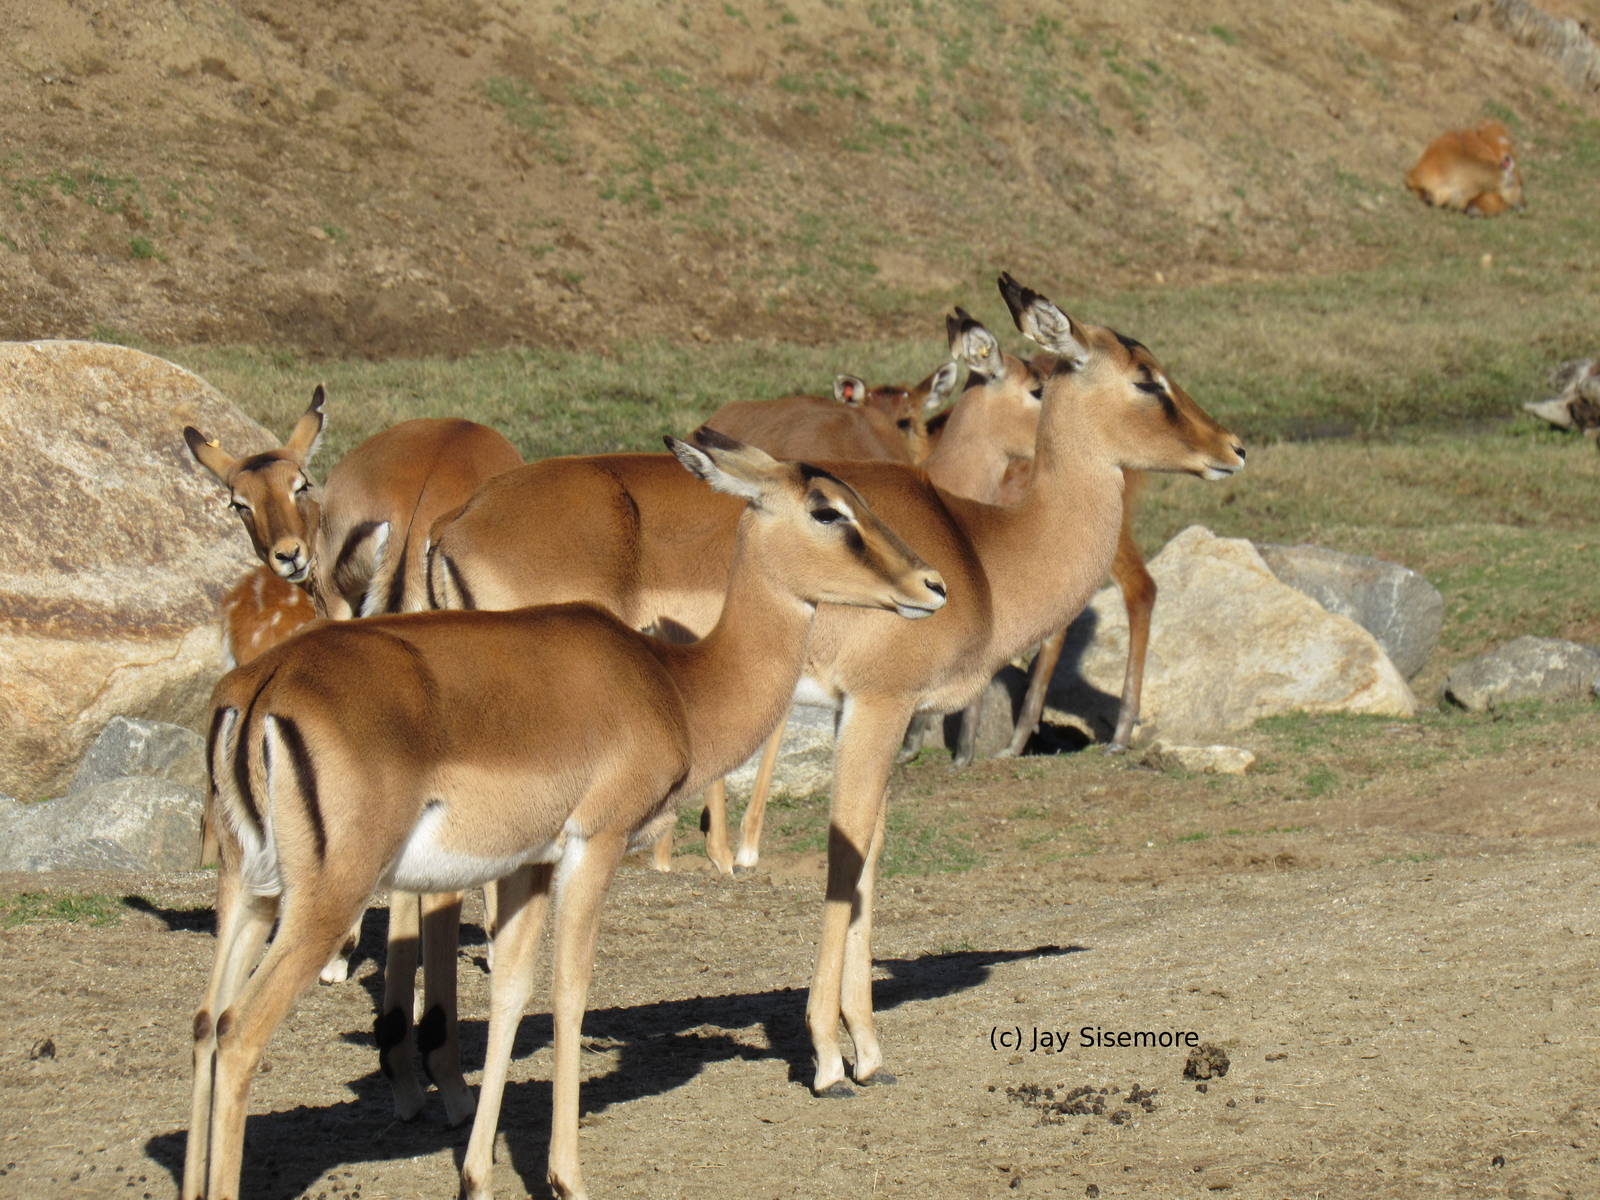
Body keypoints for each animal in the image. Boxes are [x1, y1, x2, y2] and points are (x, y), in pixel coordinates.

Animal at [425, 274, 1244, 1095]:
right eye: (1146, 378)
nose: (1231, 448)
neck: (980, 551)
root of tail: (451, 526)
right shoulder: (881, 704)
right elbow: (846, 858)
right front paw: (828, 1055)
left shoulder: (871, 713)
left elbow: (869, 857)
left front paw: (867, 1048)